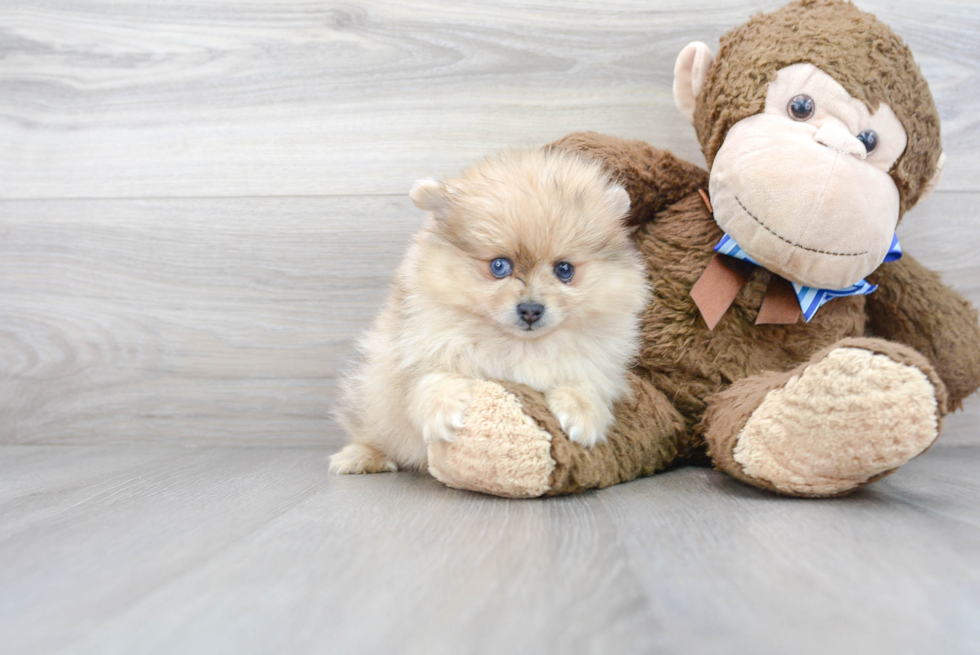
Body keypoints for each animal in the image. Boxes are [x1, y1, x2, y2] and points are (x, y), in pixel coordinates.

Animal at [332, 149, 652, 476]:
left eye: (564, 270)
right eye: (499, 266)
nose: (531, 310)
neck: (521, 346)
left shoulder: (599, 363)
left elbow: (587, 383)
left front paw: (583, 415)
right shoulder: (419, 348)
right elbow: (432, 378)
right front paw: (444, 411)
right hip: (370, 395)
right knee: (372, 431)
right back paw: (362, 456)